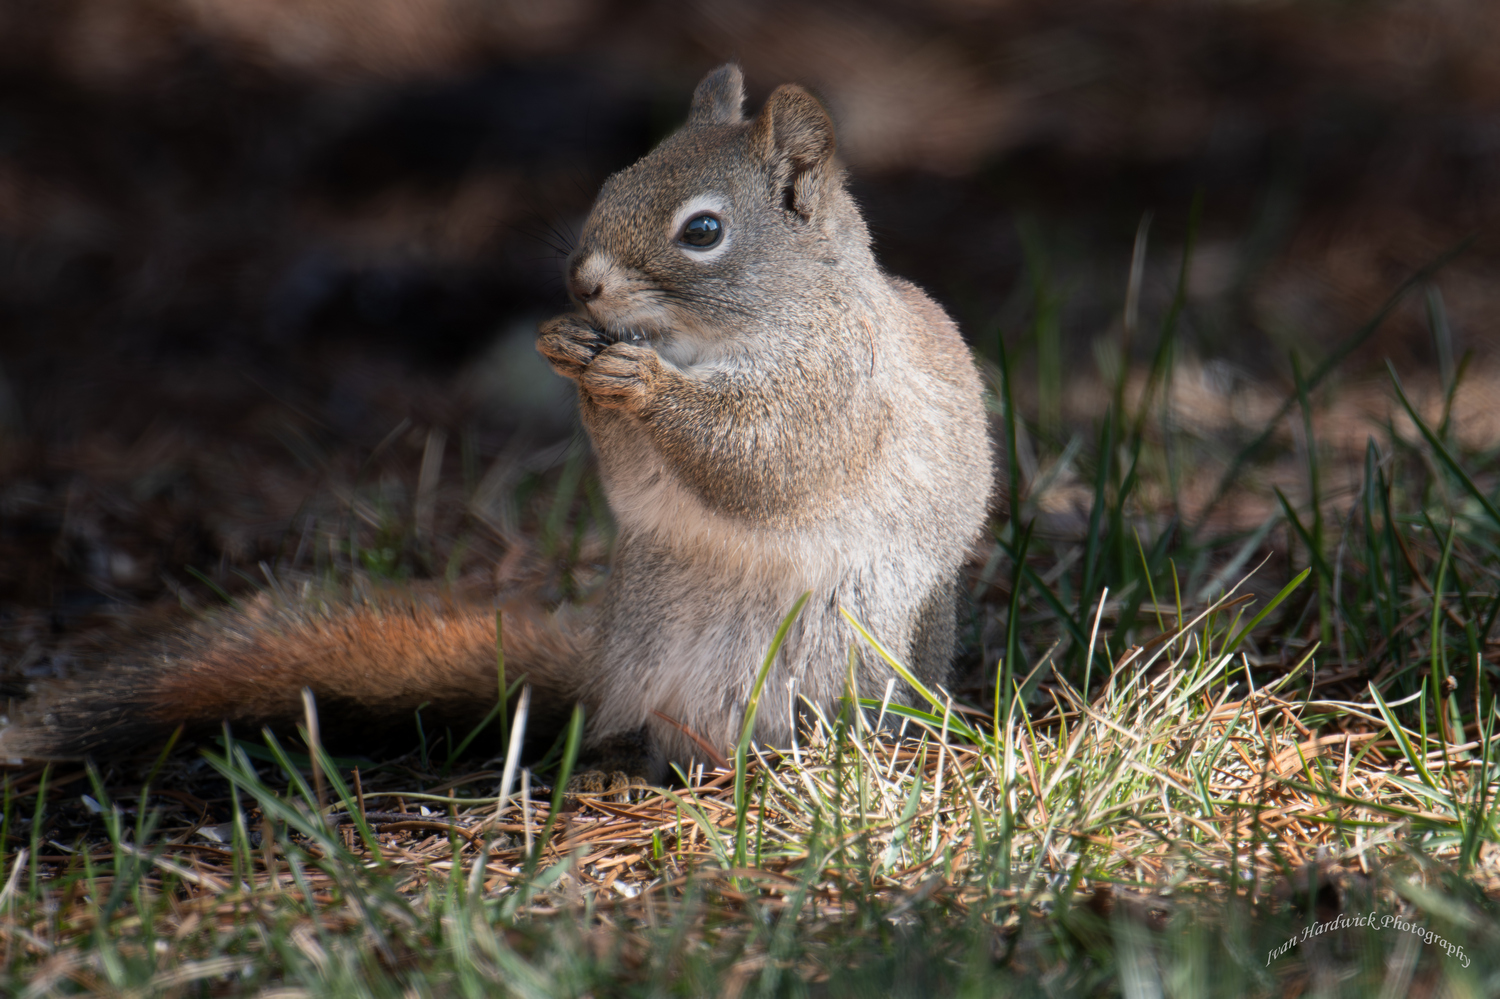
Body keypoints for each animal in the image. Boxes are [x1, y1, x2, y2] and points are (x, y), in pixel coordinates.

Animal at [0, 65, 993, 780]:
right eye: (614, 178)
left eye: (703, 231)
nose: (582, 284)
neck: (720, 337)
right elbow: (637, 478)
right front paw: (571, 356)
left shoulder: (837, 388)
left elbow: (767, 460)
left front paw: (642, 383)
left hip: (838, 658)